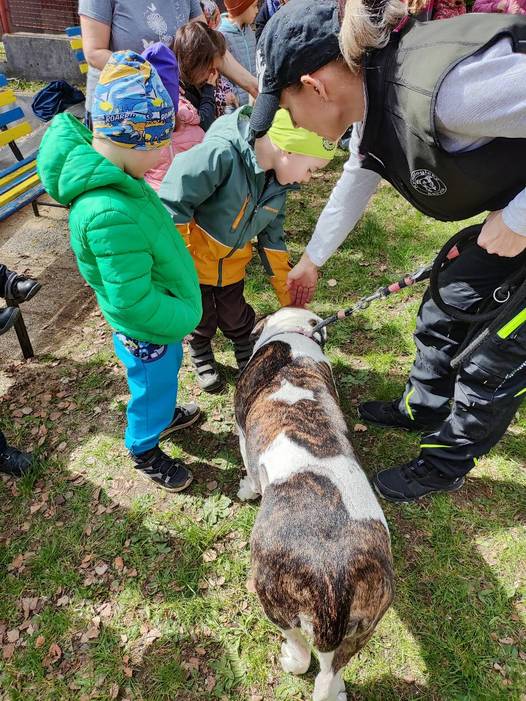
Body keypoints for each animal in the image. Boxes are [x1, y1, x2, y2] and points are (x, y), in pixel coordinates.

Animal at [234, 308, 394, 701]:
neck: (294, 335)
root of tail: (337, 575)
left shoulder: (244, 436)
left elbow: (250, 472)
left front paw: (246, 490)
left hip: (274, 599)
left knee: (301, 648)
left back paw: (292, 659)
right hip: (363, 628)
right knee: (331, 671)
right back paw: (335, 689)